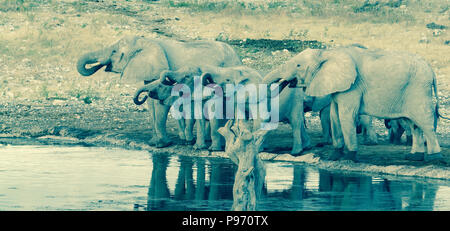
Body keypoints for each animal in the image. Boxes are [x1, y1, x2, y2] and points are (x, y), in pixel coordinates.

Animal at [76, 36, 243, 148]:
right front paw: (153, 142)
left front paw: (162, 144)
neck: (146, 41)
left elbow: (159, 103)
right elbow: (151, 103)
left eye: (114, 51)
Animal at [264, 45, 446, 162]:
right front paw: (334, 157)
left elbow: (345, 116)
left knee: (424, 122)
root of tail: (432, 70)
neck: (327, 53)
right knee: (414, 124)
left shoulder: (352, 87)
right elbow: (334, 116)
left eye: (298, 65)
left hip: (418, 89)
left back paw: (434, 158)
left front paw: (350, 157)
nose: (285, 82)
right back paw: (414, 157)